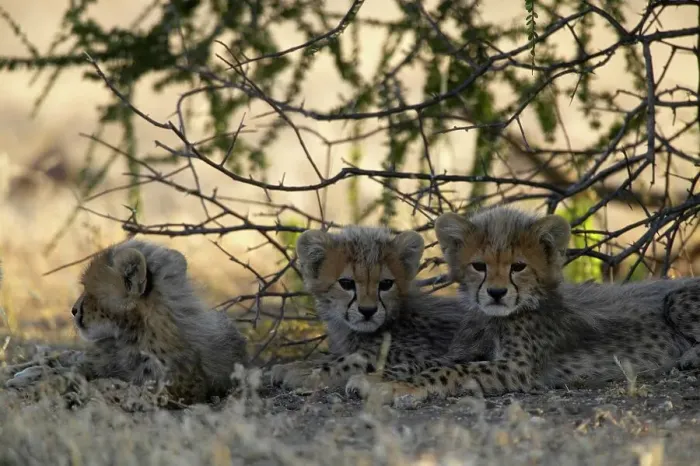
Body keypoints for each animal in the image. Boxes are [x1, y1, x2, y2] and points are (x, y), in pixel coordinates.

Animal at [5, 239, 249, 405]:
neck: (132, 335)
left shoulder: (172, 389)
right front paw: (27, 376)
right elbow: (64, 366)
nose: (73, 311)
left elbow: (87, 379)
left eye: (89, 291)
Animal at [269, 225, 465, 391]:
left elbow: (353, 360)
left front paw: (308, 374)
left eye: (386, 284)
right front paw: (295, 366)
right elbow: (330, 356)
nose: (368, 310)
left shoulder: (420, 352)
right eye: (346, 283)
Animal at [347, 205, 700, 405]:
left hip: (676, 298)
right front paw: (374, 377)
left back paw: (690, 356)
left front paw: (399, 388)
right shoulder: (465, 350)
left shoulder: (518, 368)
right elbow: (427, 361)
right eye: (479, 266)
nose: (496, 293)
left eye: (518, 266)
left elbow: (447, 371)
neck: (497, 317)